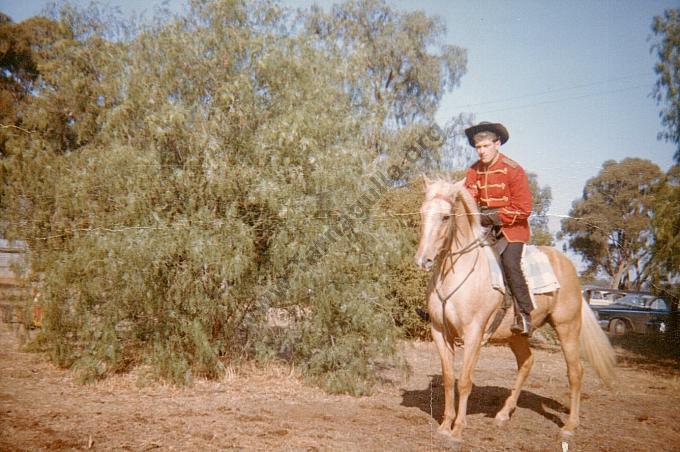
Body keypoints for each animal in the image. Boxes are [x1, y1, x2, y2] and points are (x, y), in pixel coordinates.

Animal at [414, 178, 616, 444]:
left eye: (446, 217)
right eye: (422, 213)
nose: (423, 260)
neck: (455, 273)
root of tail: (569, 266)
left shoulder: (474, 334)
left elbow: (465, 381)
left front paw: (457, 429)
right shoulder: (440, 332)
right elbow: (448, 379)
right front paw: (445, 425)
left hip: (567, 327)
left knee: (575, 372)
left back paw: (570, 426)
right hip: (516, 335)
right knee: (527, 363)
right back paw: (503, 413)